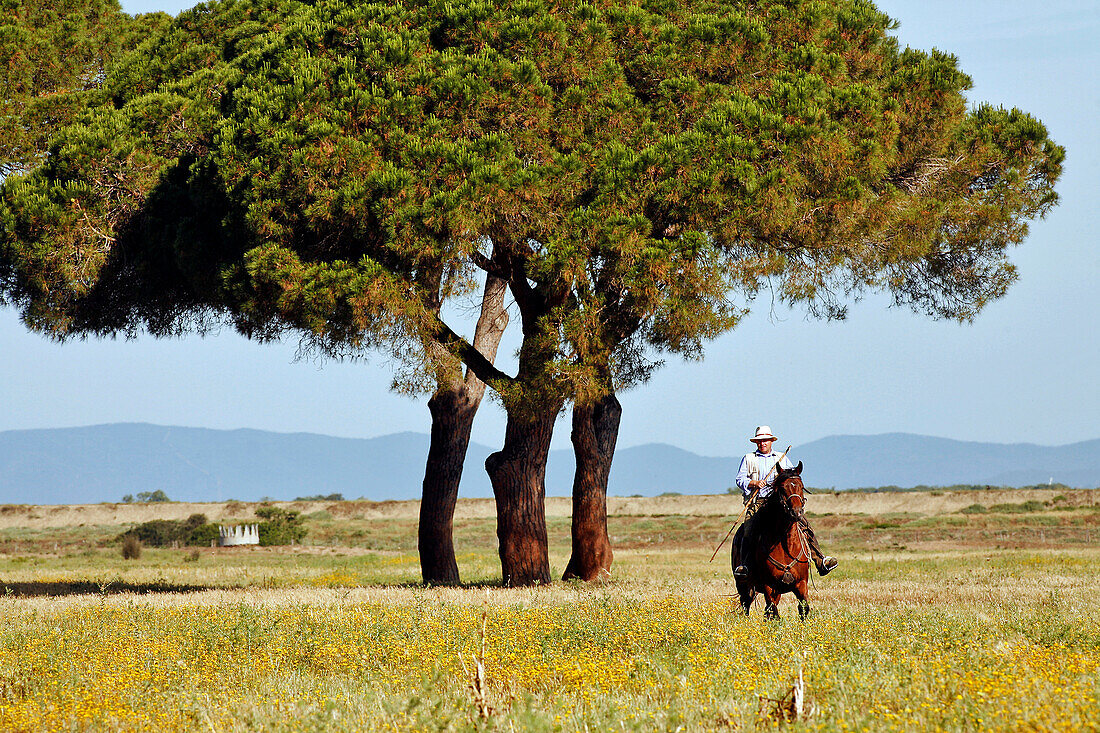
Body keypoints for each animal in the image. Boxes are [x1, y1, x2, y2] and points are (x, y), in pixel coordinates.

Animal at [734, 462, 814, 616]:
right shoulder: (769, 586)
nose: (796, 512)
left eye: (801, 486)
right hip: (744, 585)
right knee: (746, 606)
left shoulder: (801, 583)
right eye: (782, 488)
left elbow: (803, 608)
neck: (786, 545)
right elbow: (773, 612)